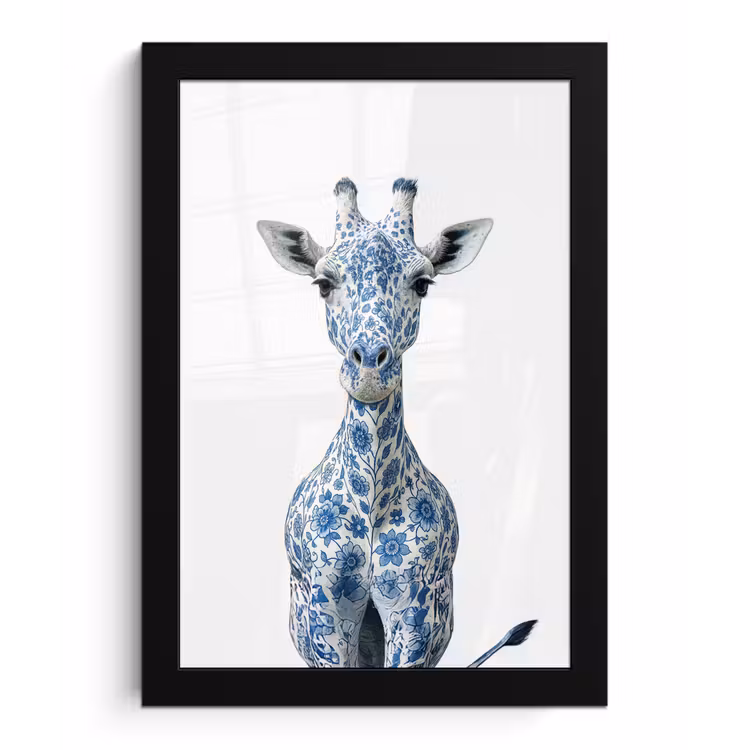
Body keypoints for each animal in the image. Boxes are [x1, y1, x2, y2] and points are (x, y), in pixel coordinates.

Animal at [258, 178, 536, 667]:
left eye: (422, 283)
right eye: (323, 283)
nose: (370, 368)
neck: (372, 502)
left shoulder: (413, 610)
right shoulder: (326, 609)